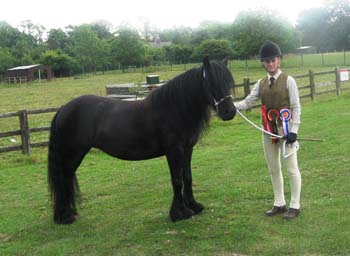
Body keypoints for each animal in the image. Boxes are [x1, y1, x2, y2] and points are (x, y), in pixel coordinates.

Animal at [47, 56, 237, 224]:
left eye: (228, 82)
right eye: (211, 83)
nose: (230, 112)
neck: (174, 108)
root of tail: (63, 108)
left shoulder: (187, 149)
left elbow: (187, 177)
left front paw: (194, 206)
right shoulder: (173, 151)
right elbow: (176, 180)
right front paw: (179, 213)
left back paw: (69, 213)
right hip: (73, 154)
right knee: (63, 178)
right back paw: (64, 216)